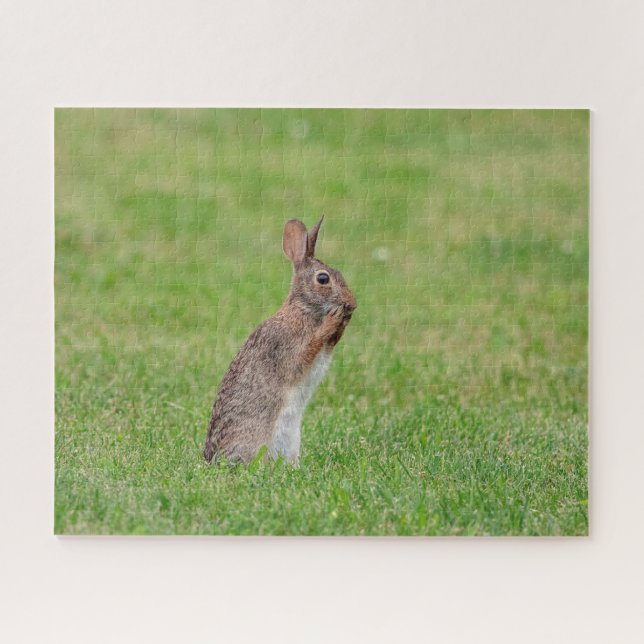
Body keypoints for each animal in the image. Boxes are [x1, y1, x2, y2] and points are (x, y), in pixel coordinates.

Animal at [203, 216, 357, 465]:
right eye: (323, 278)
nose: (352, 304)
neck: (303, 309)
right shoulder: (288, 347)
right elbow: (308, 352)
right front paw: (333, 319)